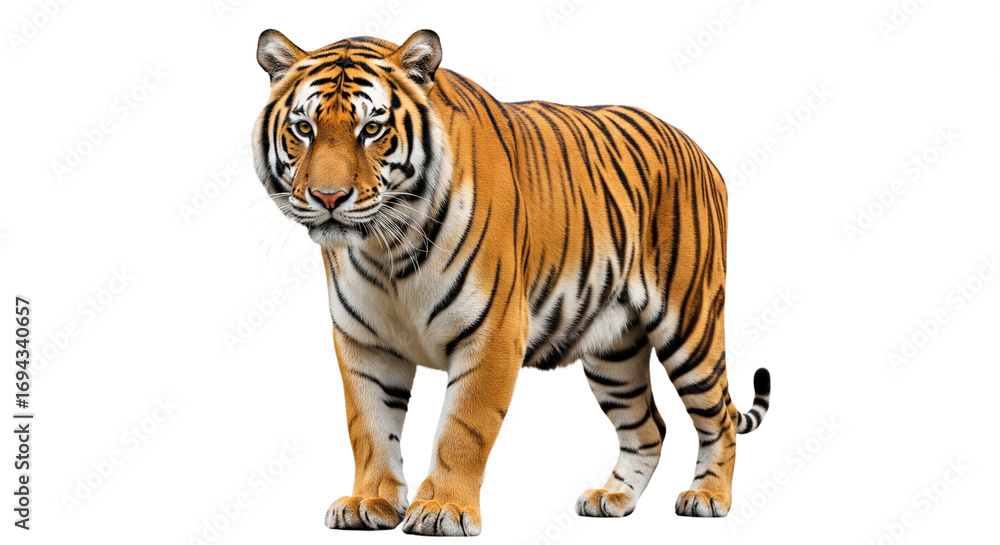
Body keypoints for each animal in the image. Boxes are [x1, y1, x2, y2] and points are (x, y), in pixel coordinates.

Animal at [251, 28, 771, 536]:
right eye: (304, 129)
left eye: (372, 130)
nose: (328, 197)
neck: (387, 251)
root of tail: (697, 149)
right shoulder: (364, 342)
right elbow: (370, 427)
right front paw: (369, 502)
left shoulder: (493, 333)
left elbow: (462, 428)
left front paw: (441, 509)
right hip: (614, 353)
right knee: (648, 428)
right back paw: (612, 499)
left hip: (691, 328)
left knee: (718, 418)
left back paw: (708, 497)